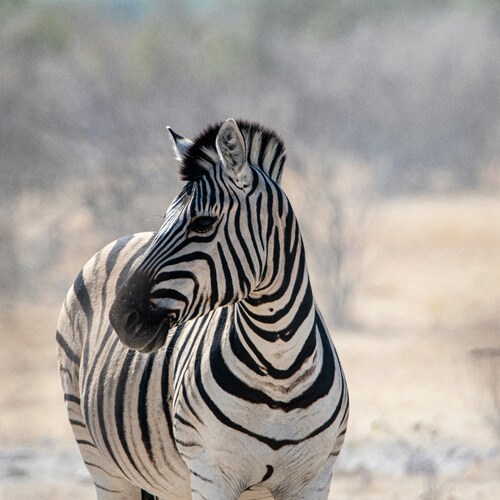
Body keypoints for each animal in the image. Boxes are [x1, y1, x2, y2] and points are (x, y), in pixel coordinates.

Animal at [57, 119, 348, 498]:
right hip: (101, 463)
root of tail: (125, 237)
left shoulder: (315, 478)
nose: (121, 319)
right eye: (165, 220)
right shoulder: (212, 474)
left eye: (203, 224)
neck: (279, 367)